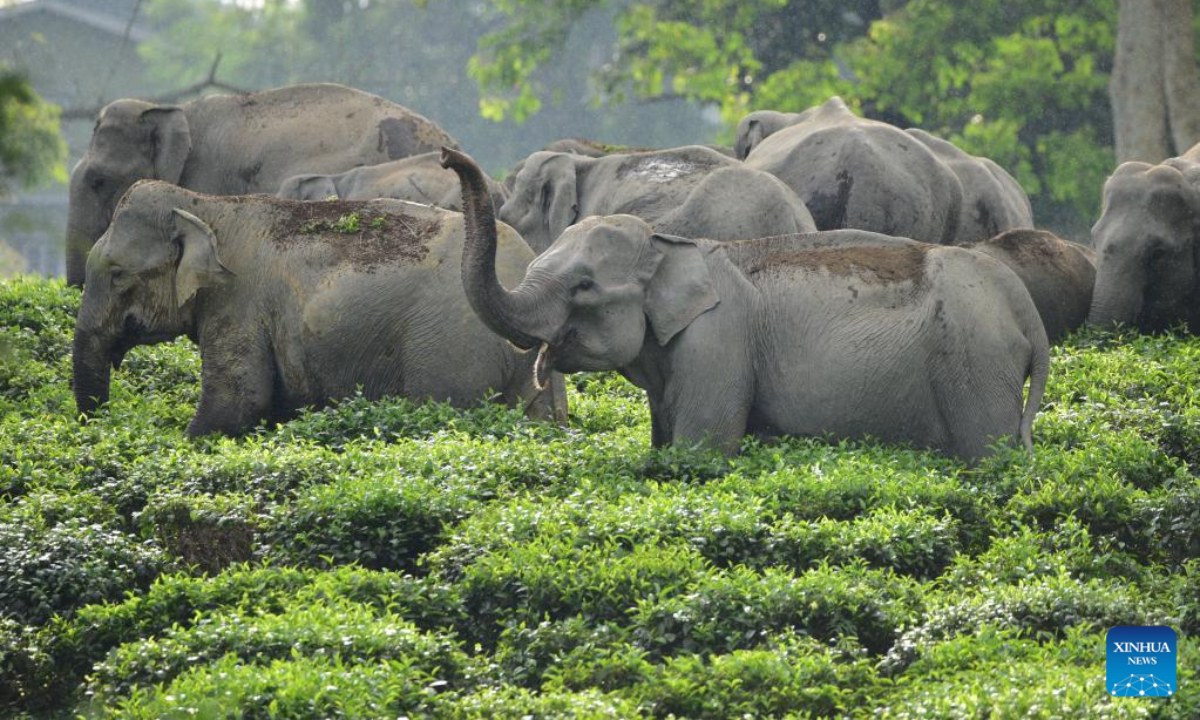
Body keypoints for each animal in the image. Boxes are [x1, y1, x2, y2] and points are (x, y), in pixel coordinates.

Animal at [72, 180, 564, 437]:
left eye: (117, 275)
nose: (101, 428)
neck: (207, 206)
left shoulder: (240, 304)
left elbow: (238, 400)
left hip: (449, 354)